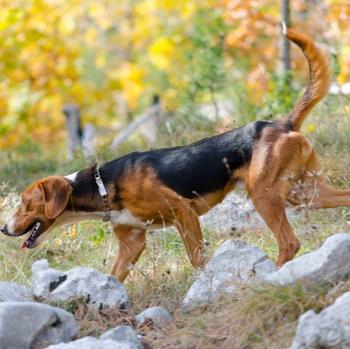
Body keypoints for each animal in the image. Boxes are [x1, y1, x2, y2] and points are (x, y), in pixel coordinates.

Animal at [3, 27, 350, 282]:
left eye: (25, 202)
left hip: (265, 193)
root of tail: (280, 123)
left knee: (289, 243)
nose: (4, 229)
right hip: (304, 192)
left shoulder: (184, 213)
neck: (103, 186)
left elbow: (197, 259)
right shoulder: (132, 242)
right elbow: (114, 277)